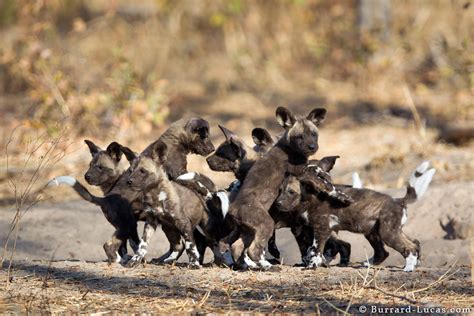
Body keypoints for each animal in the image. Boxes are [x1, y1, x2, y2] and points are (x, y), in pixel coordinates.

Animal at [278, 160, 436, 272]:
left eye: (291, 192)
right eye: (280, 191)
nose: (278, 204)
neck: (310, 198)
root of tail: (398, 200)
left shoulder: (321, 230)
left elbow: (315, 250)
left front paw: (312, 265)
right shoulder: (315, 230)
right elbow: (310, 250)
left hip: (387, 233)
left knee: (408, 247)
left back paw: (408, 268)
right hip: (377, 233)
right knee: (399, 247)